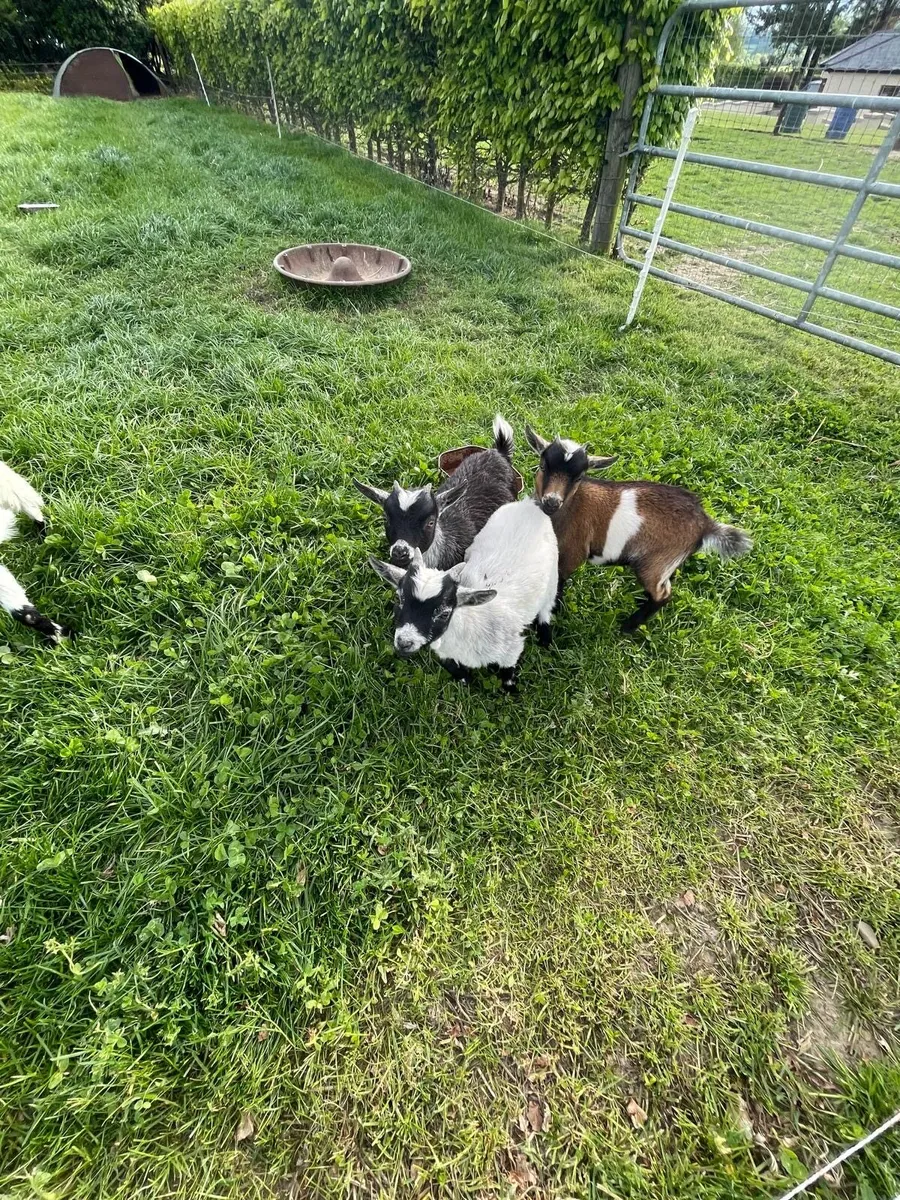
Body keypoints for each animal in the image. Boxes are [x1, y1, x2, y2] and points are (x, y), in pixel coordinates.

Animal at [369, 499, 557, 691]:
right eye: (400, 599)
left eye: (445, 613)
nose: (404, 642)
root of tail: (529, 504)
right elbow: (459, 673)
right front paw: (466, 682)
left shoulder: (512, 650)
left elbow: (508, 676)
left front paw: (510, 691)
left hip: (553, 576)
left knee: (547, 606)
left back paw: (545, 637)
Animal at [525, 427, 751, 632]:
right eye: (543, 466)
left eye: (579, 477)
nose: (552, 501)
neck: (570, 508)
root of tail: (705, 524)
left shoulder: (572, 554)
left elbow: (558, 583)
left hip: (655, 563)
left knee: (663, 594)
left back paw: (628, 626)